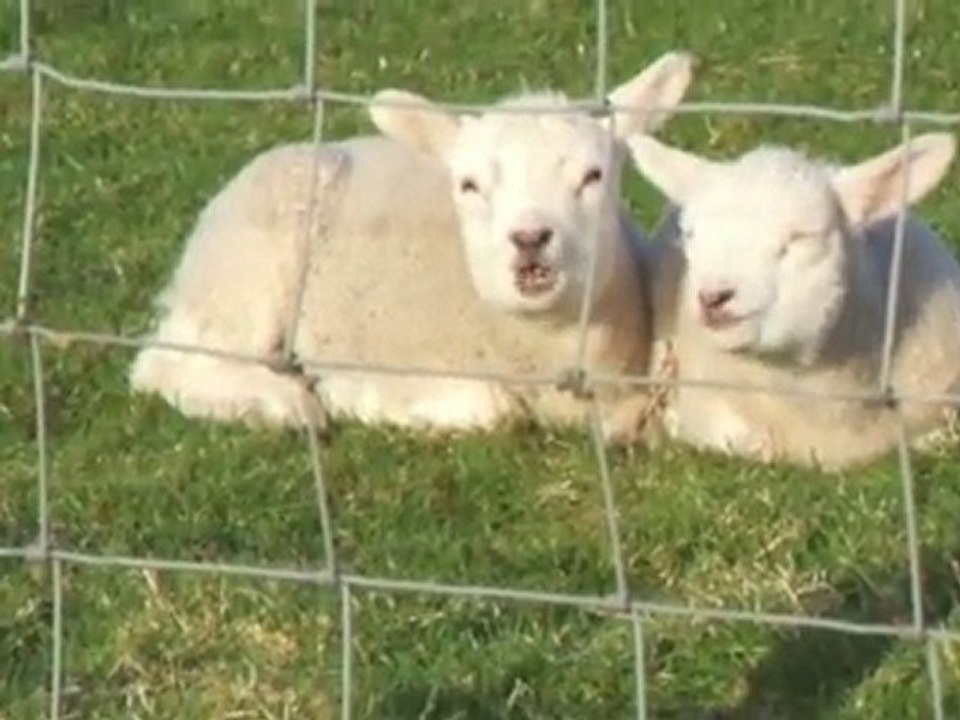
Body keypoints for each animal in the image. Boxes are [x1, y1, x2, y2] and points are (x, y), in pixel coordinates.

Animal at [128, 51, 697, 444]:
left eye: (593, 175)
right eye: (469, 185)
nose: (530, 238)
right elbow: (492, 410)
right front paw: (346, 394)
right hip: (243, 280)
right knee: (165, 364)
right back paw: (284, 402)